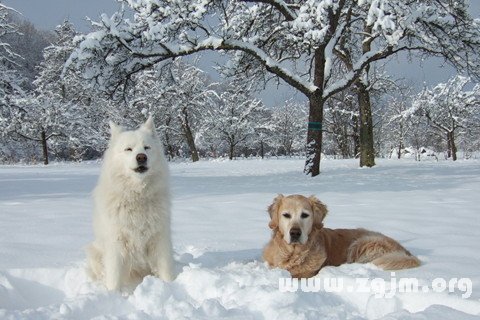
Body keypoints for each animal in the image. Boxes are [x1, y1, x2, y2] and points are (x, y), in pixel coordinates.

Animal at [87, 117, 175, 290]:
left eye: (147, 147)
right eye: (128, 149)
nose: (141, 157)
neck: (137, 196)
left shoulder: (160, 240)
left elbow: (166, 271)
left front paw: (171, 287)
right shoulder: (116, 244)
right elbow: (114, 278)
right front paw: (112, 294)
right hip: (94, 251)